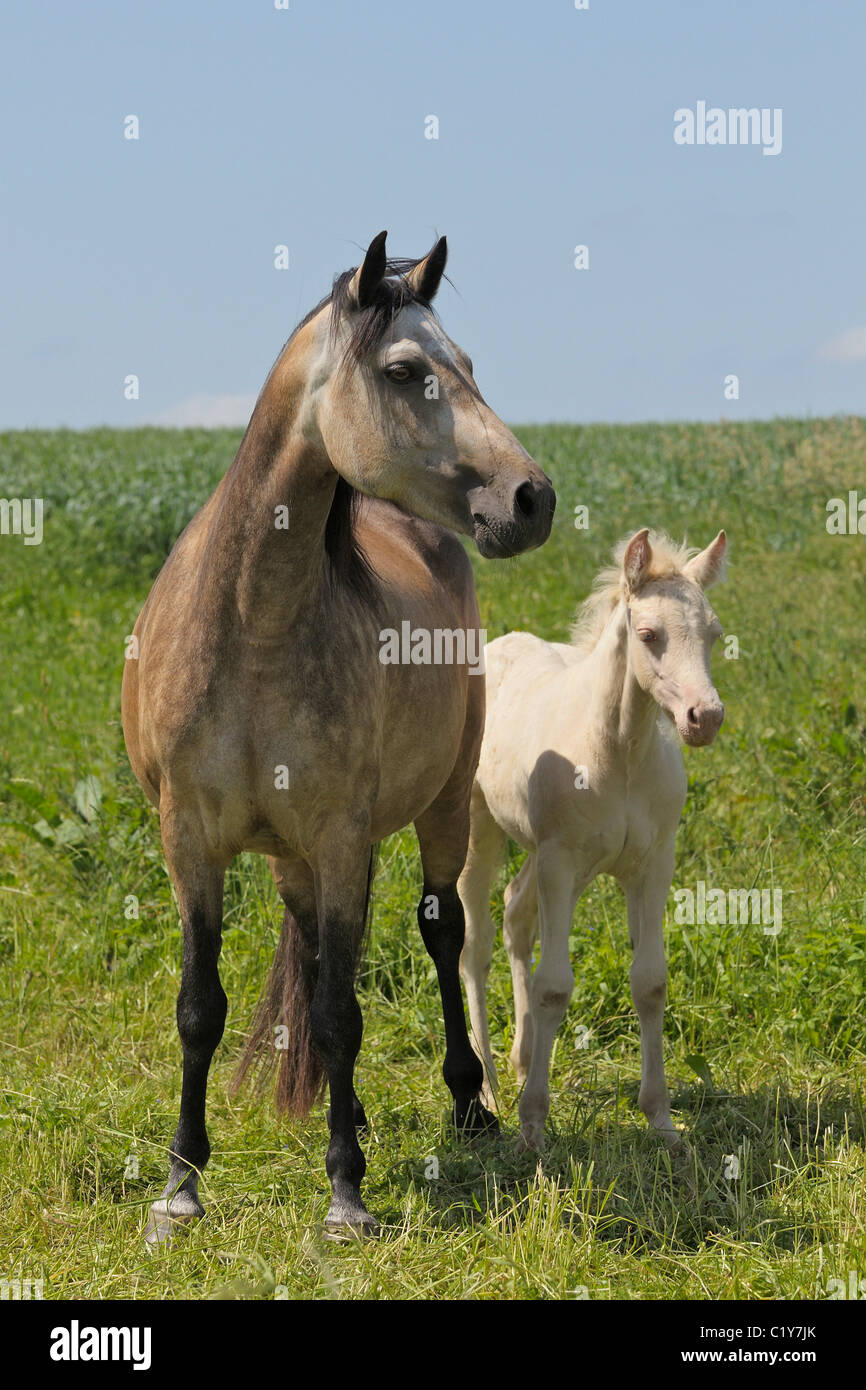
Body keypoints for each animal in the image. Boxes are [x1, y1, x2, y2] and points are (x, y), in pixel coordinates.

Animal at [122, 233, 556, 1245]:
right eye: (403, 371)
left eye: (466, 364)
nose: (531, 497)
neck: (251, 625)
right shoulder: (190, 841)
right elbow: (202, 1009)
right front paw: (181, 1185)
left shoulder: (341, 836)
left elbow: (339, 1015)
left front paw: (346, 1192)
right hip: (294, 858)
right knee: (321, 957)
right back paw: (343, 1104)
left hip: (439, 809)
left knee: (440, 931)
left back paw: (467, 1102)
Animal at [458, 525, 728, 1145]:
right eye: (649, 635)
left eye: (713, 633)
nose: (705, 717)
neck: (618, 754)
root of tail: (496, 646)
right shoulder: (560, 862)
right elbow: (555, 984)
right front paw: (534, 1126)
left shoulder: (650, 864)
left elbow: (649, 981)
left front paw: (662, 1122)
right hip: (483, 828)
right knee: (475, 941)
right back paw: (488, 1087)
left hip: (546, 856)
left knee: (515, 911)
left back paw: (523, 1060)